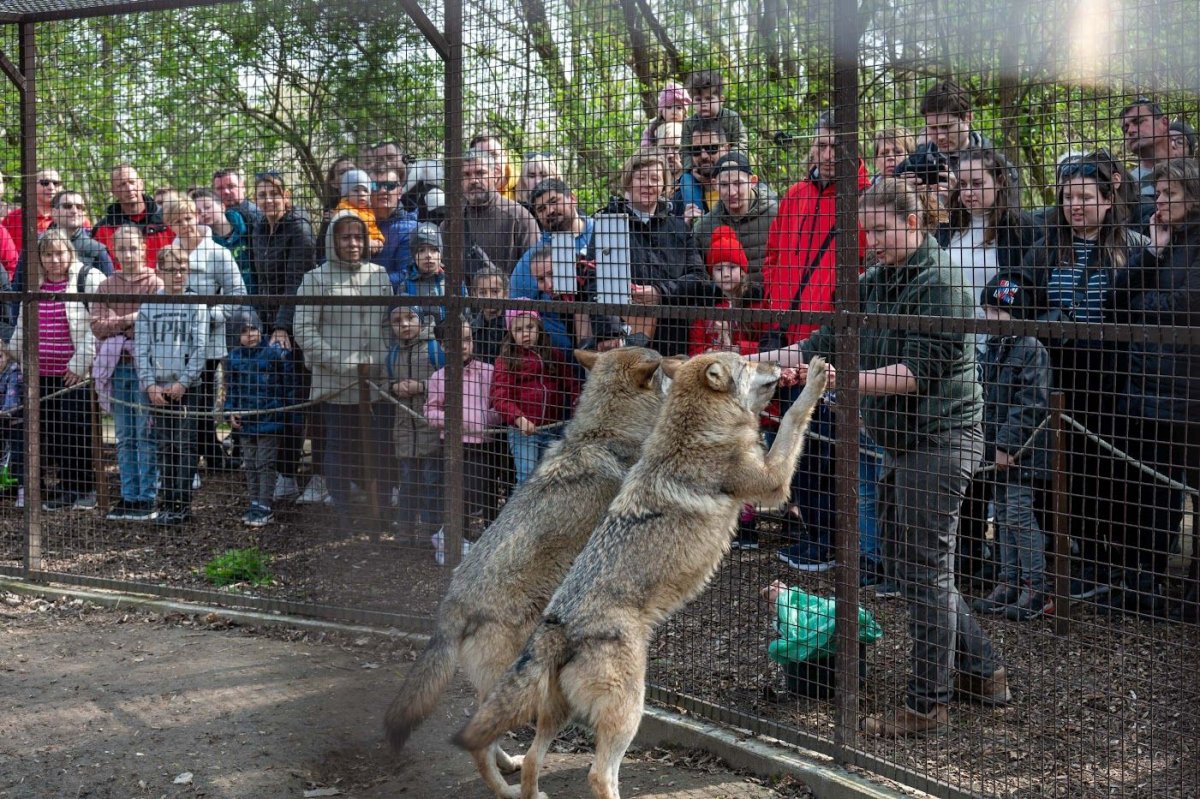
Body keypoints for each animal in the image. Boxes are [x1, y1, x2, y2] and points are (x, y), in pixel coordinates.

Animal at [381, 343, 667, 796]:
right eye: (662, 363)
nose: (676, 361)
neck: (603, 433)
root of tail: (450, 608)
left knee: (481, 728)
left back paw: (510, 766)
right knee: (479, 747)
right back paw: (507, 789)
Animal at [453, 350, 830, 796]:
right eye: (746, 362)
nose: (781, 366)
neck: (697, 430)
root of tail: (557, 625)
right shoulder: (773, 486)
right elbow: (792, 417)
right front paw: (816, 380)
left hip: (559, 712)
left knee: (531, 758)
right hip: (629, 709)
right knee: (598, 773)